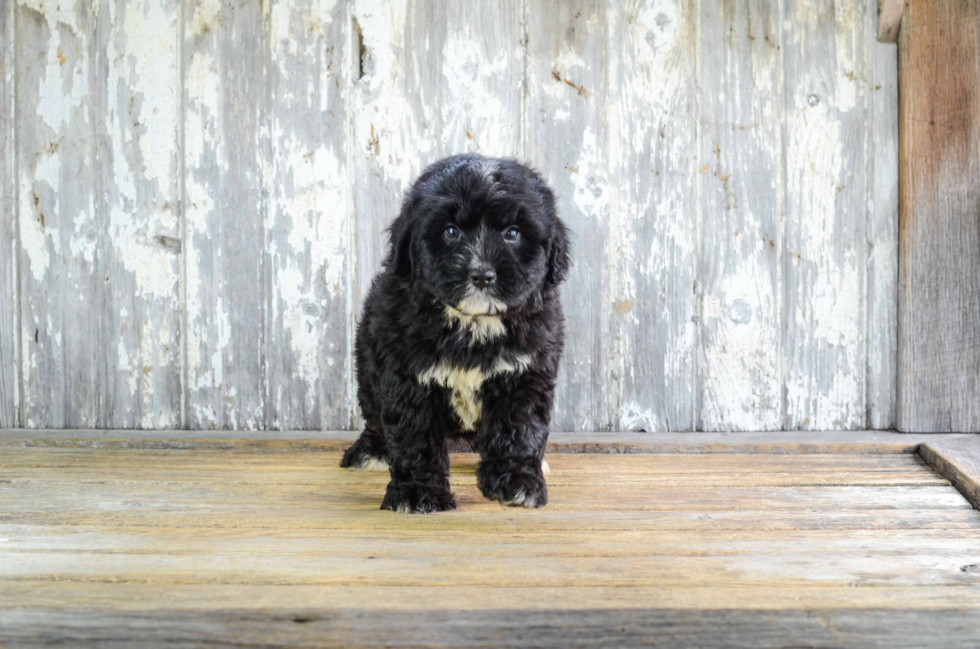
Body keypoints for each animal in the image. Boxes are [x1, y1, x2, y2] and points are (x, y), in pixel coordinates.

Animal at [340, 154, 572, 512]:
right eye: (452, 231)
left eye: (513, 233)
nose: (482, 274)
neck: (473, 324)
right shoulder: (407, 376)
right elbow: (415, 435)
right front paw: (417, 493)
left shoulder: (525, 372)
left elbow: (519, 429)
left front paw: (518, 482)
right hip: (367, 365)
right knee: (374, 415)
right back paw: (371, 451)